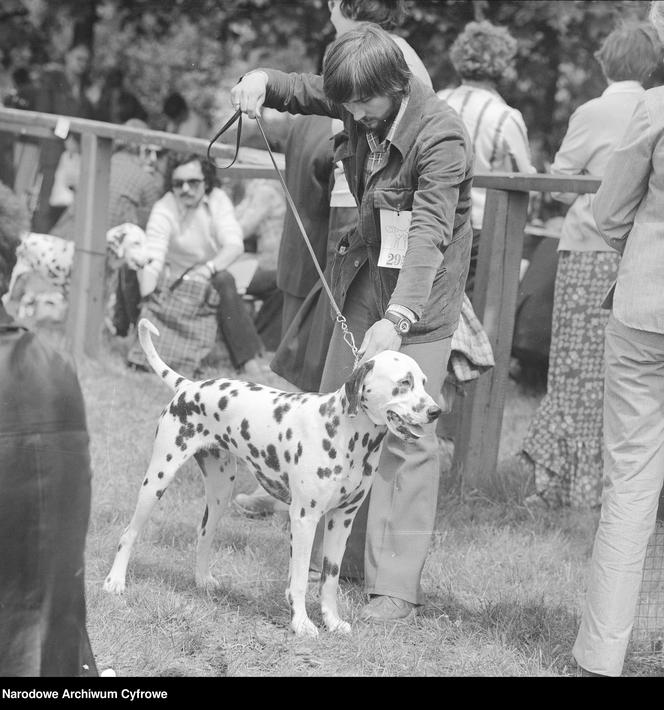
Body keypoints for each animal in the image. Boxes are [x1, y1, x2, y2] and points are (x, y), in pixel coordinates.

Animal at [104, 320, 440, 636]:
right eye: (404, 383)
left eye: (424, 382)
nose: (436, 411)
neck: (345, 432)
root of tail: (190, 385)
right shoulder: (304, 518)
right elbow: (301, 579)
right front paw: (301, 623)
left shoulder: (342, 519)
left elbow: (330, 579)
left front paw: (332, 621)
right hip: (157, 480)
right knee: (128, 534)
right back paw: (115, 582)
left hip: (220, 492)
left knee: (203, 535)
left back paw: (202, 580)